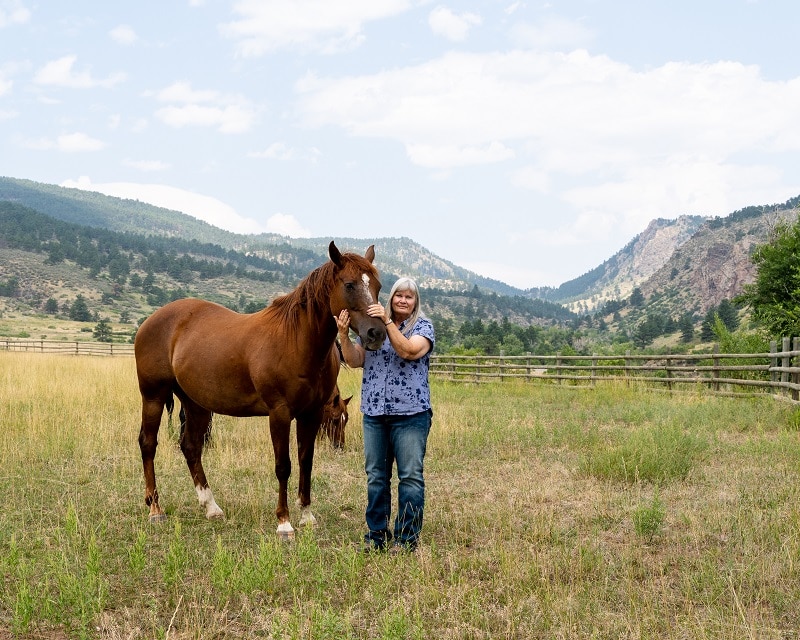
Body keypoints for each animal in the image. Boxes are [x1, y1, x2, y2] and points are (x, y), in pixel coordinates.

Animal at [134, 241, 386, 538]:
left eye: (378, 285)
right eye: (349, 285)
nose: (376, 334)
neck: (296, 340)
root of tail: (153, 319)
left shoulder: (310, 414)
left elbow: (306, 461)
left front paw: (307, 515)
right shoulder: (279, 414)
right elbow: (283, 466)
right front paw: (284, 522)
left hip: (196, 405)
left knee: (191, 447)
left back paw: (211, 507)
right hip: (153, 396)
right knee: (148, 444)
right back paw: (155, 508)